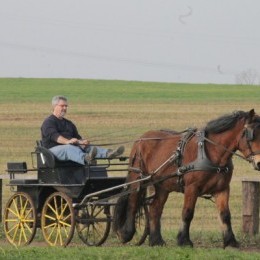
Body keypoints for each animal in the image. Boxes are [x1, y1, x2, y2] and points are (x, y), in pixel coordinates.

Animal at [114, 109, 260, 248]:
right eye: (251, 135)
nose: (259, 163)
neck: (211, 153)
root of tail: (141, 139)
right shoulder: (192, 188)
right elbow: (187, 213)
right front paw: (184, 240)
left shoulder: (222, 189)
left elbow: (225, 215)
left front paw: (230, 241)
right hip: (138, 178)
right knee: (132, 202)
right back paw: (126, 233)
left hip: (162, 186)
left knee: (155, 209)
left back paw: (156, 241)